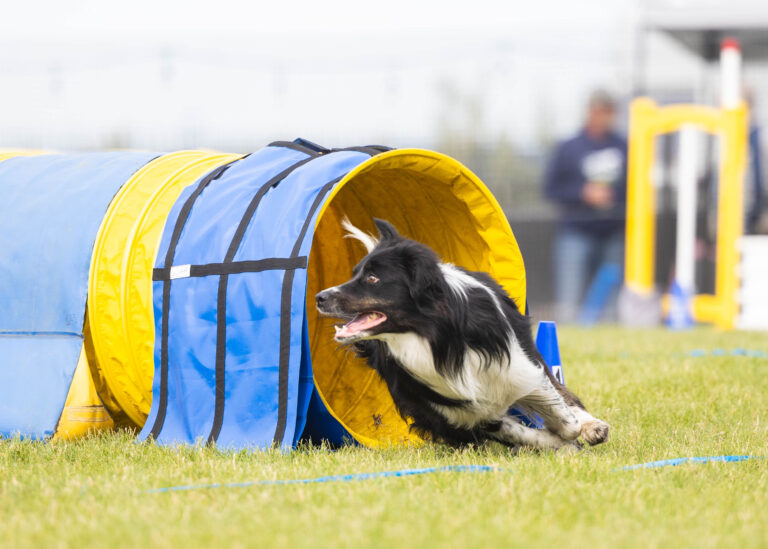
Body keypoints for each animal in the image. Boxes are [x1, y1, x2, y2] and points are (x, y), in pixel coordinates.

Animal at [315, 218, 610, 451]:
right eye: (355, 274)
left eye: (373, 278)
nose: (319, 297)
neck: (435, 338)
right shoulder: (456, 410)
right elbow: (516, 430)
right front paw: (557, 444)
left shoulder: (519, 368)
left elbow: (563, 415)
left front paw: (573, 431)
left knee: (561, 390)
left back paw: (593, 426)